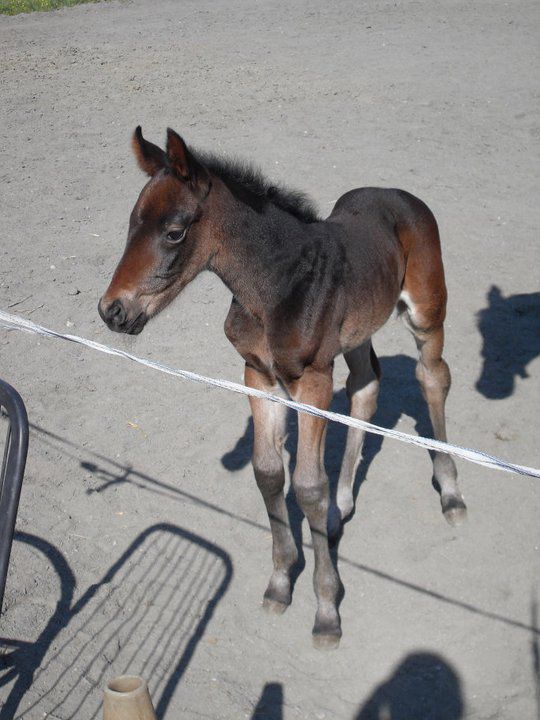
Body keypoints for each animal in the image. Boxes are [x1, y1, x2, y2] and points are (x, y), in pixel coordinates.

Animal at [98, 127, 467, 648]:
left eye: (173, 232)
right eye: (132, 224)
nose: (112, 311)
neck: (276, 284)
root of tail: (397, 194)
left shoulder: (312, 380)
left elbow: (309, 485)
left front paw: (327, 608)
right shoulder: (258, 373)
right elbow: (269, 472)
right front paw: (279, 580)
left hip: (426, 310)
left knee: (433, 375)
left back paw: (450, 492)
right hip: (357, 332)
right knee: (366, 385)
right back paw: (339, 510)